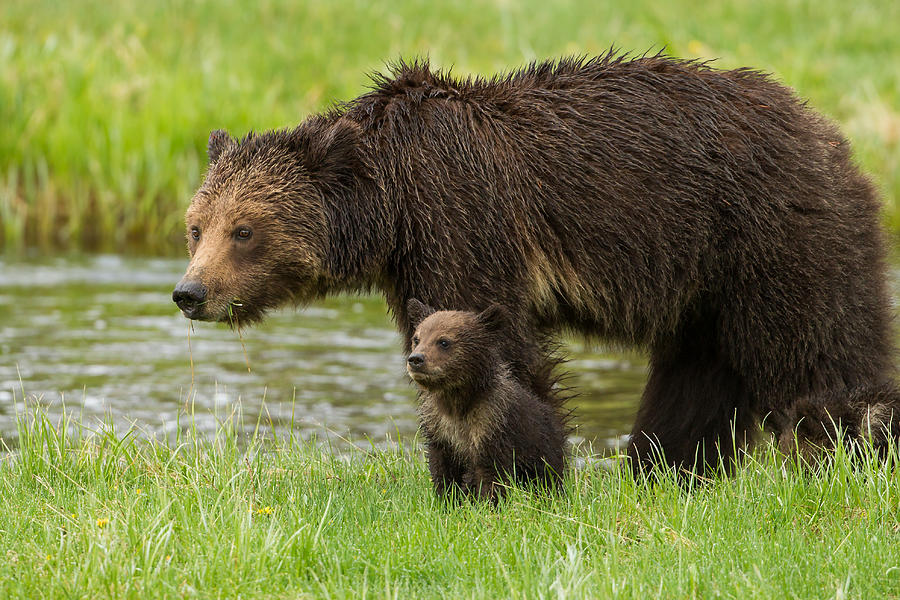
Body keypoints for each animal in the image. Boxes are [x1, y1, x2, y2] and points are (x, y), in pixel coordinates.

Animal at [172, 51, 896, 474]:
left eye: (243, 230)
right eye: (195, 227)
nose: (190, 292)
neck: (391, 203)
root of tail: (829, 134)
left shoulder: (462, 217)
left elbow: (502, 348)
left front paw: (522, 465)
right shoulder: (416, 259)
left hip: (771, 238)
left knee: (823, 357)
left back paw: (851, 452)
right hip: (707, 291)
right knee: (696, 381)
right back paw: (665, 466)